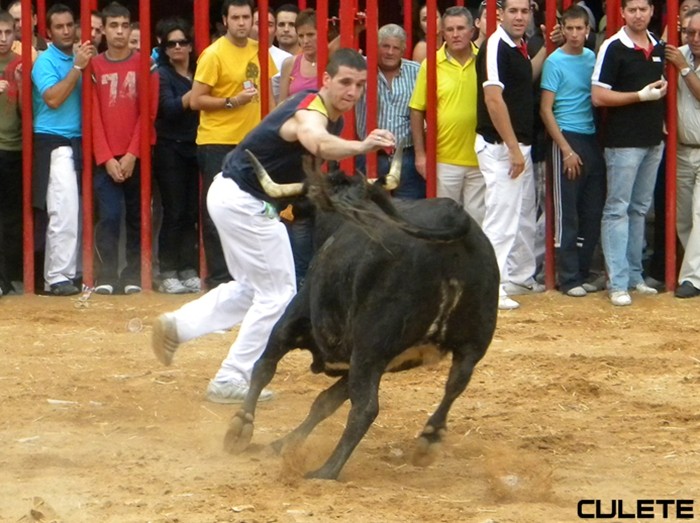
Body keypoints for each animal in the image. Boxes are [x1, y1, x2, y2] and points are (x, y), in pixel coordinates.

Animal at [223, 154, 498, 482]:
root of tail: (451, 220)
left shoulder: (294, 321)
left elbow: (264, 367)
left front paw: (240, 428)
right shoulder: (368, 361)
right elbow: (324, 402)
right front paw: (283, 443)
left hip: (371, 346)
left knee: (366, 408)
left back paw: (326, 470)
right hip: (471, 343)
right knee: (455, 384)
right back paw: (429, 438)